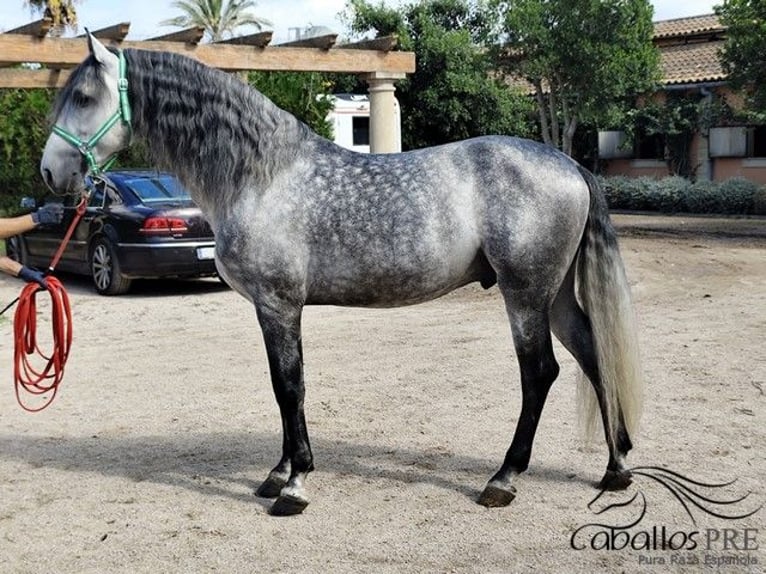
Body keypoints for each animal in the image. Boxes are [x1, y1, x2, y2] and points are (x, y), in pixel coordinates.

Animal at [40, 33, 643, 516]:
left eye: (84, 98)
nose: (50, 172)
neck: (261, 176)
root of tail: (570, 165)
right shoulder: (270, 309)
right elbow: (283, 388)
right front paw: (279, 473)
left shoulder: (279, 304)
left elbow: (290, 386)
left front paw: (295, 485)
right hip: (554, 295)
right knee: (593, 354)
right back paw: (615, 468)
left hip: (525, 295)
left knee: (540, 373)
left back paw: (504, 479)